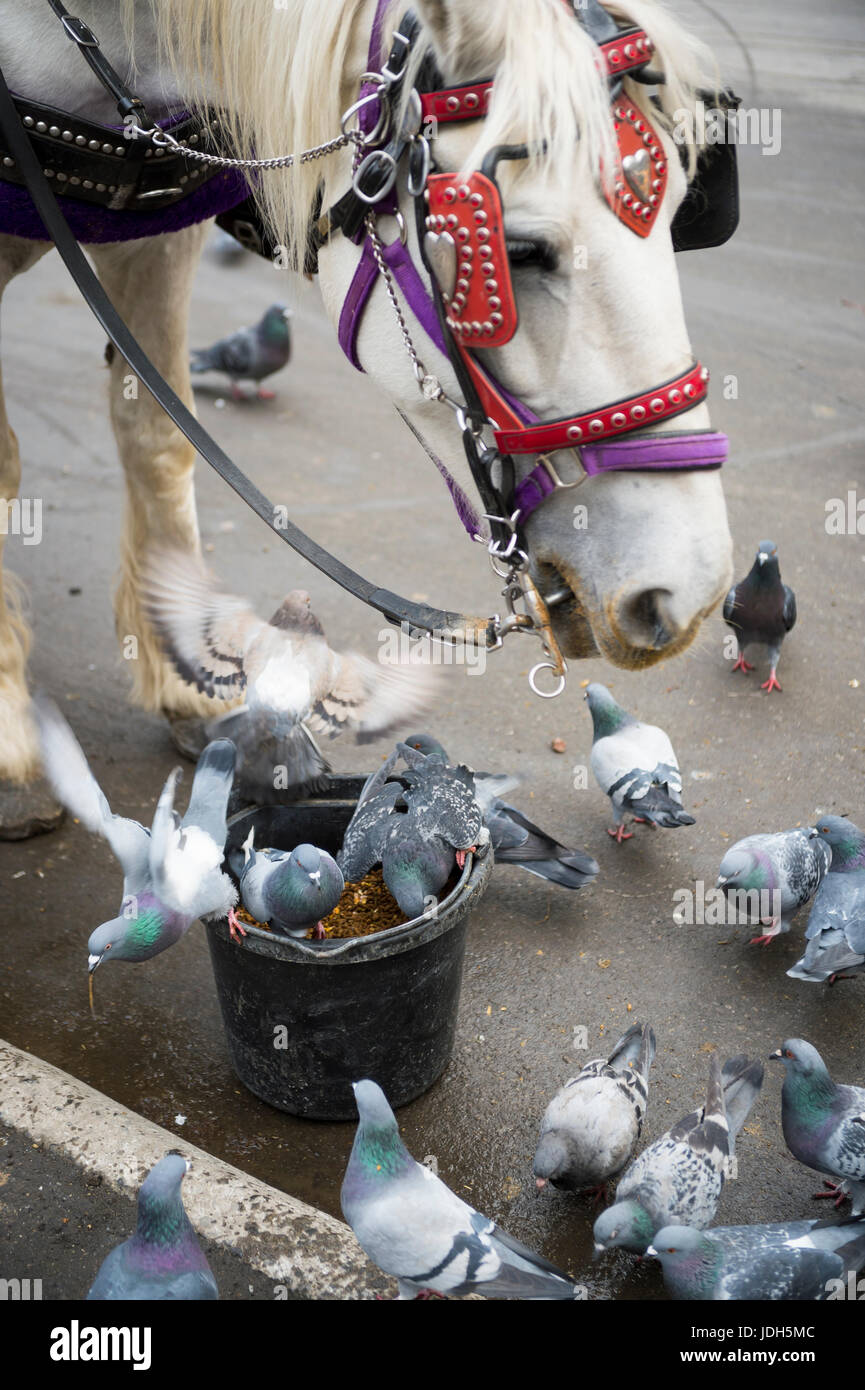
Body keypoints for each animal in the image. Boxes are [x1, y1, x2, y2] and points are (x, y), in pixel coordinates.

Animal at [0, 0, 734, 834]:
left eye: (685, 211)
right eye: (517, 249)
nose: (687, 589)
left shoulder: (159, 236)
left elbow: (156, 436)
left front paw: (183, 679)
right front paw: (13, 743)